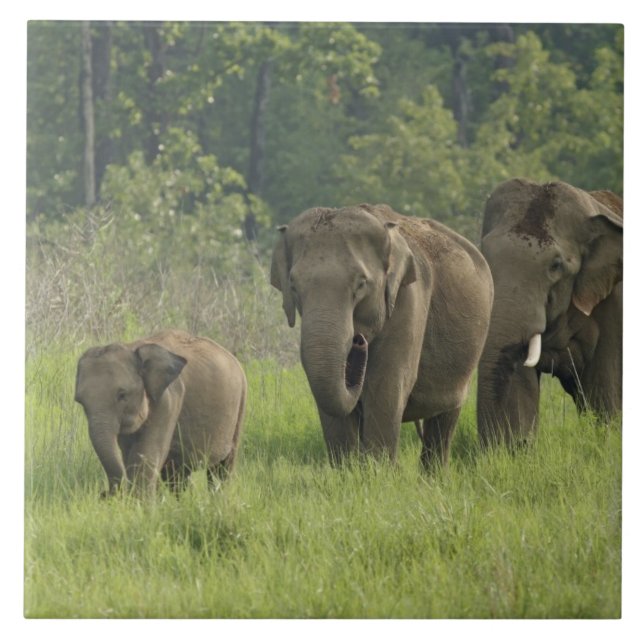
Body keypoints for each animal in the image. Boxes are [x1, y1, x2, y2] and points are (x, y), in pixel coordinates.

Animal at [74, 329, 247, 496]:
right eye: (80, 401)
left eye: (122, 395)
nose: (104, 493)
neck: (132, 348)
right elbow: (129, 455)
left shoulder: (169, 400)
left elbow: (147, 455)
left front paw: (141, 502)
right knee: (178, 473)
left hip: (240, 405)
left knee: (222, 467)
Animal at [270, 203, 494, 467]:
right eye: (293, 286)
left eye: (361, 284)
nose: (359, 342)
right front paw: (348, 470)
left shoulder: (409, 300)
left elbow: (386, 386)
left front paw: (379, 471)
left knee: (445, 418)